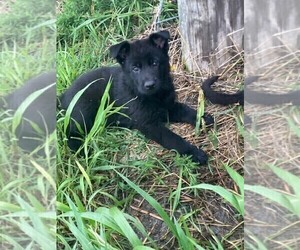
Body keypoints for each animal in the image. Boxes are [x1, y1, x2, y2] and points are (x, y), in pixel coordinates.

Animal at [59, 30, 213, 164]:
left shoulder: (167, 106)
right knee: (71, 135)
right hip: (83, 111)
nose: (150, 85)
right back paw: (84, 153)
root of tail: (63, 95)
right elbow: (172, 138)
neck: (154, 96)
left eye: (155, 63)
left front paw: (203, 117)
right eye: (135, 68)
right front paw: (194, 153)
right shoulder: (149, 124)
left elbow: (185, 109)